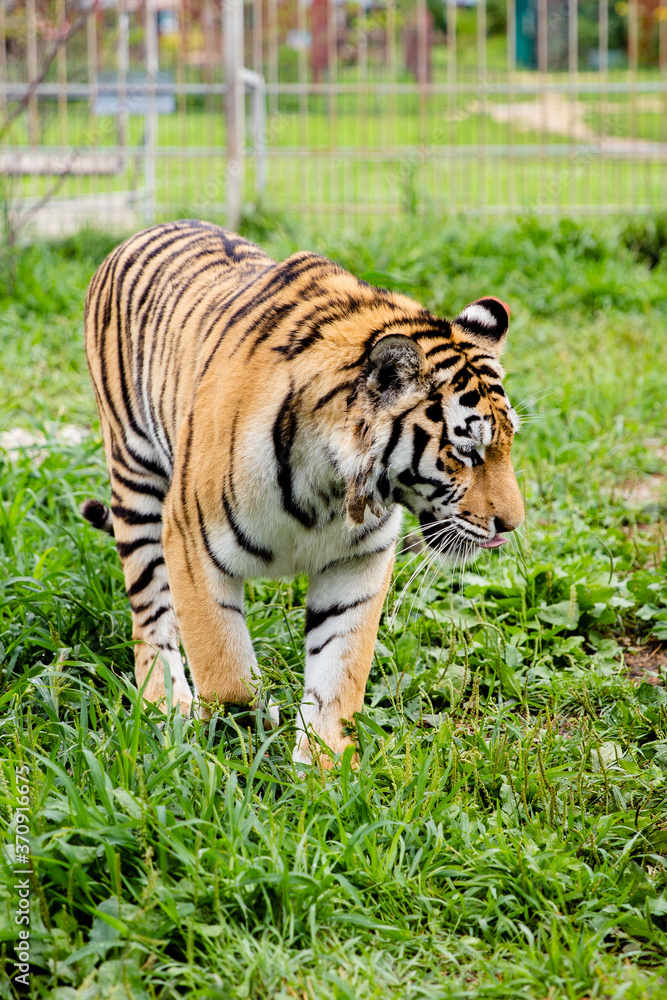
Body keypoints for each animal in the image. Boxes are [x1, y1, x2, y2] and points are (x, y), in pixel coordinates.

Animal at [82, 219, 524, 768]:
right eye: (465, 451)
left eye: (509, 443)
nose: (512, 525)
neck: (331, 487)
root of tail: (144, 231)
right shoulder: (189, 543)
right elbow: (225, 670)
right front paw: (244, 736)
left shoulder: (357, 564)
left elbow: (339, 672)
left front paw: (324, 768)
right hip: (136, 480)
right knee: (150, 616)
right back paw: (165, 700)